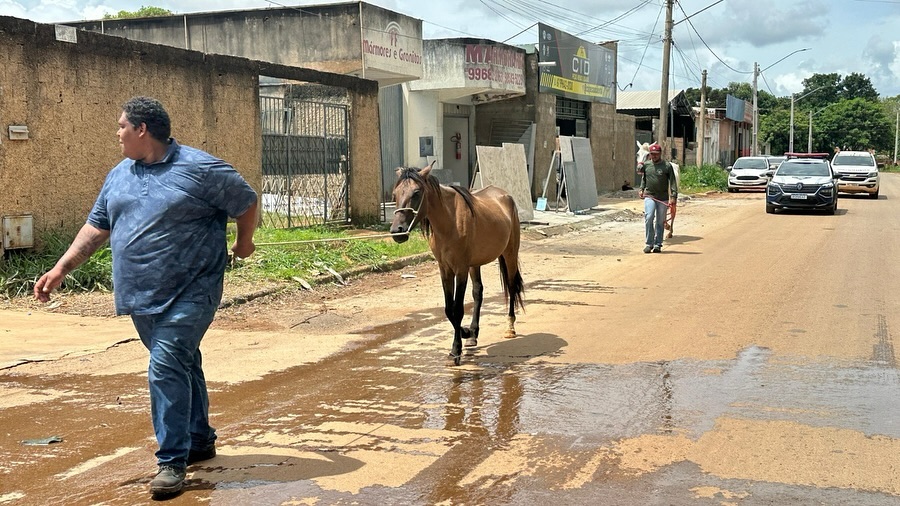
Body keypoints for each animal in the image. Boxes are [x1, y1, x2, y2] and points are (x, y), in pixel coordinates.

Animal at [390, 162, 524, 364]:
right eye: (395, 193)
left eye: (416, 193)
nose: (397, 231)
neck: (449, 221)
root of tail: (504, 195)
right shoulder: (445, 269)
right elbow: (449, 309)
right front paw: (466, 333)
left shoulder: (460, 269)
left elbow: (458, 309)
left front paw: (456, 350)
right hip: (475, 264)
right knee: (478, 292)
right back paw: (474, 334)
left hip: (509, 253)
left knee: (511, 285)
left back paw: (510, 328)